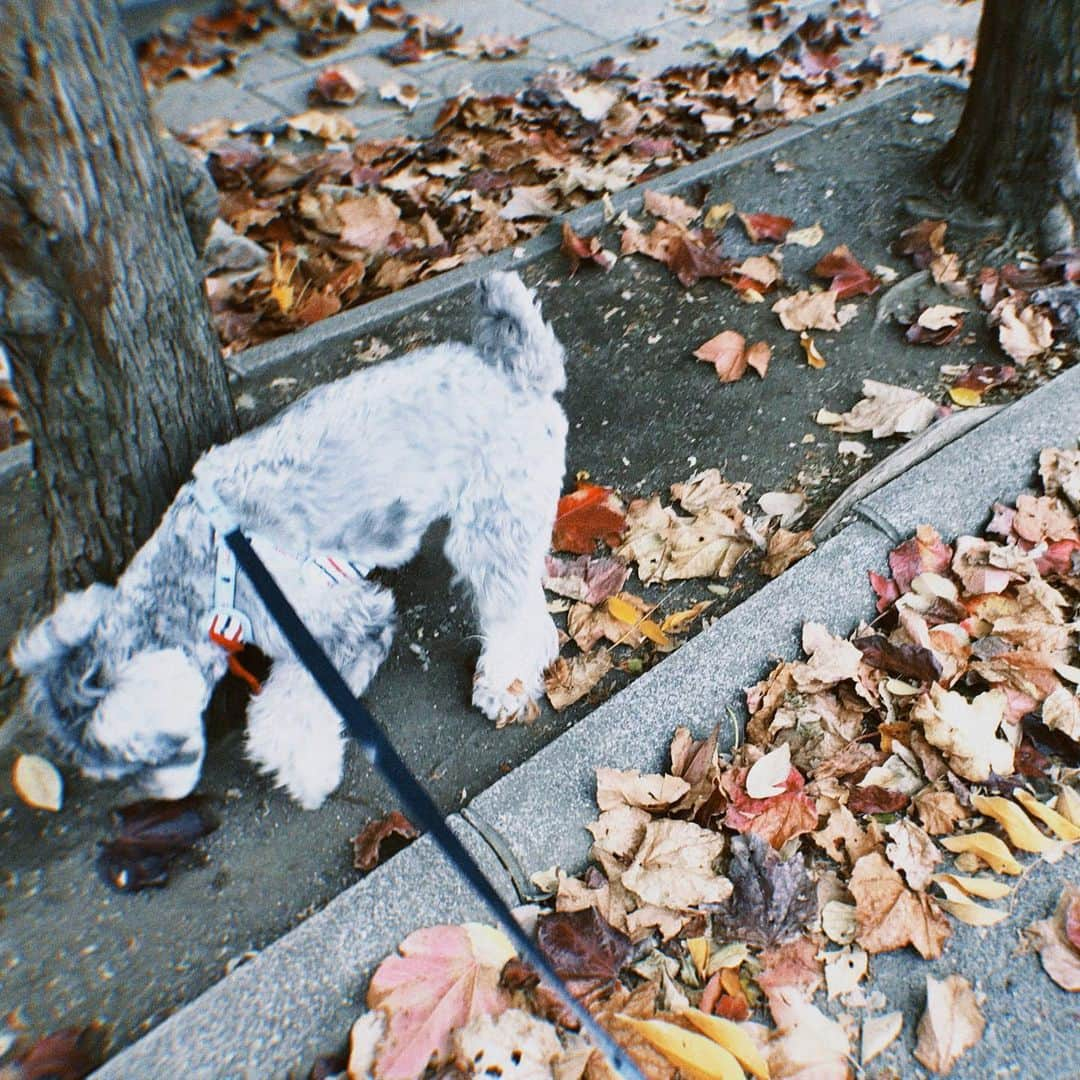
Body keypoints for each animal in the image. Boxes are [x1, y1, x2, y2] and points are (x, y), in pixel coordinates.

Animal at [12, 274, 570, 807]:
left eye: (143, 760)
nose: (155, 798)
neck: (203, 570)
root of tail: (513, 371)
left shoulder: (342, 626)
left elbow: (292, 711)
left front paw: (305, 777)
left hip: (493, 522)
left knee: (519, 616)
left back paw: (503, 682)